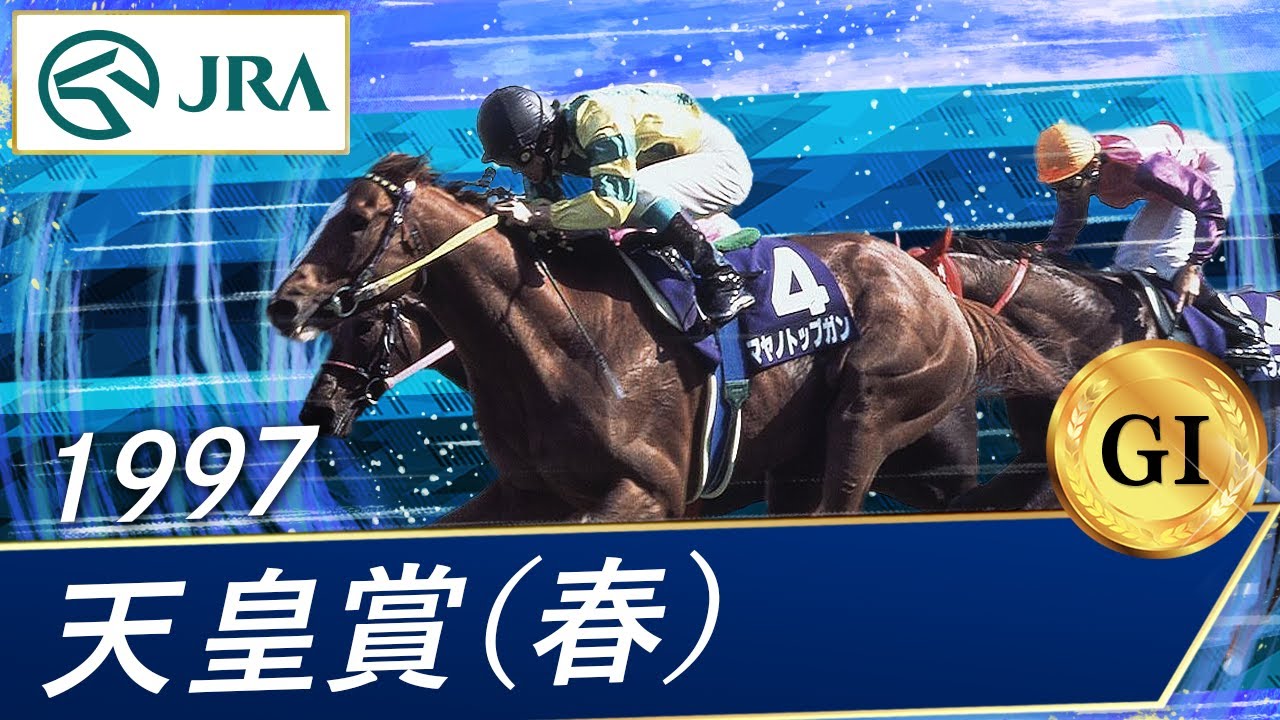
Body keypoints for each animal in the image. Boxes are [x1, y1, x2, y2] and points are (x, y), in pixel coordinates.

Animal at [268, 153, 1060, 525]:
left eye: (358, 221)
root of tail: (932, 282)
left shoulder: (653, 490)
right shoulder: (529, 490)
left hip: (872, 413)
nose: (284, 304)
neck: (556, 344)